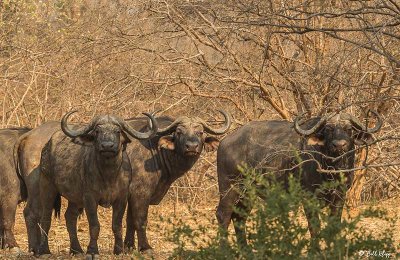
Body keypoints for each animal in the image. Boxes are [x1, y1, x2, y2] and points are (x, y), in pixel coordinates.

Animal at [35, 111, 158, 258]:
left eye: (117, 131)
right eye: (98, 131)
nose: (107, 146)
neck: (109, 175)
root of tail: (47, 147)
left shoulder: (121, 199)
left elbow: (117, 225)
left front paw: (119, 250)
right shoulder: (89, 198)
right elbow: (94, 226)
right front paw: (92, 251)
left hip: (74, 197)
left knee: (70, 217)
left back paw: (76, 250)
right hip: (47, 186)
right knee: (45, 217)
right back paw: (44, 251)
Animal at [124, 110, 231, 254]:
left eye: (200, 132)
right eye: (179, 132)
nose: (191, 147)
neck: (155, 147)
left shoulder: (132, 195)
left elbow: (130, 221)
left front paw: (128, 247)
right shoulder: (140, 192)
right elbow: (140, 220)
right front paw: (145, 247)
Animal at [217, 110, 382, 245]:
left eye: (349, 129)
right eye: (328, 129)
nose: (339, 145)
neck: (331, 170)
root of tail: (224, 142)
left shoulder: (340, 196)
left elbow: (334, 225)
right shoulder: (309, 197)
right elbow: (314, 228)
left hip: (248, 193)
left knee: (239, 217)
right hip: (230, 188)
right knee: (223, 215)